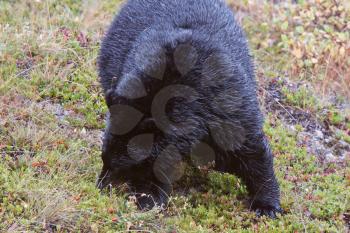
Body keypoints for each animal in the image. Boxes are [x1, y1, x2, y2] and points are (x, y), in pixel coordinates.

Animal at [97, 0, 284, 218]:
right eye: (104, 157)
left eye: (122, 165)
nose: (100, 186)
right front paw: (150, 197)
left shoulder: (226, 106)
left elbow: (249, 149)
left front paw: (266, 205)